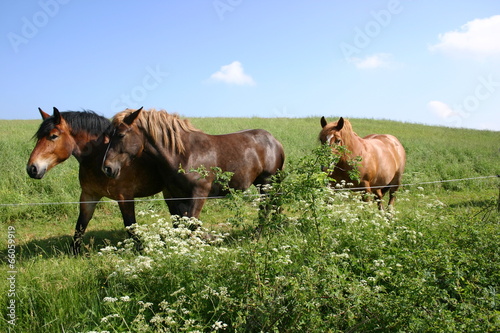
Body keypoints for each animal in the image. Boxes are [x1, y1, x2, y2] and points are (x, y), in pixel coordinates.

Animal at [26, 107, 166, 253]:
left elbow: (130, 225)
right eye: (38, 137)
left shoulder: (125, 197)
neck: (99, 156)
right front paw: (74, 252)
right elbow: (80, 225)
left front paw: (141, 250)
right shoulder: (89, 195)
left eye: (53, 136)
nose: (32, 168)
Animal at [101, 106, 286, 219]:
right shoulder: (176, 195)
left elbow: (192, 223)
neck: (184, 154)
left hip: (267, 183)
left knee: (266, 209)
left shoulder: (199, 193)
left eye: (121, 135)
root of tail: (275, 141)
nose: (107, 168)